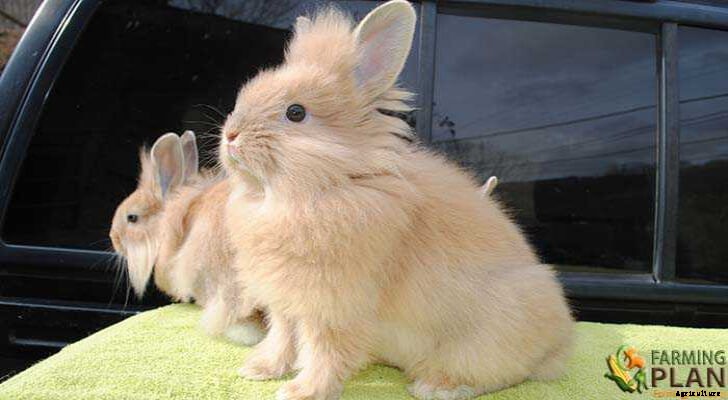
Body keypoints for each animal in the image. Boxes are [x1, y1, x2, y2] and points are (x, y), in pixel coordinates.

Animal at [219, 1, 574, 399]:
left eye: (296, 113)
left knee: (501, 374)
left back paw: (437, 386)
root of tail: (559, 342)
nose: (230, 135)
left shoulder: (334, 307)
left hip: (491, 338)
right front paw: (260, 370)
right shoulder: (285, 302)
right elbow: (283, 337)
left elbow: (324, 350)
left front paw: (303, 391)